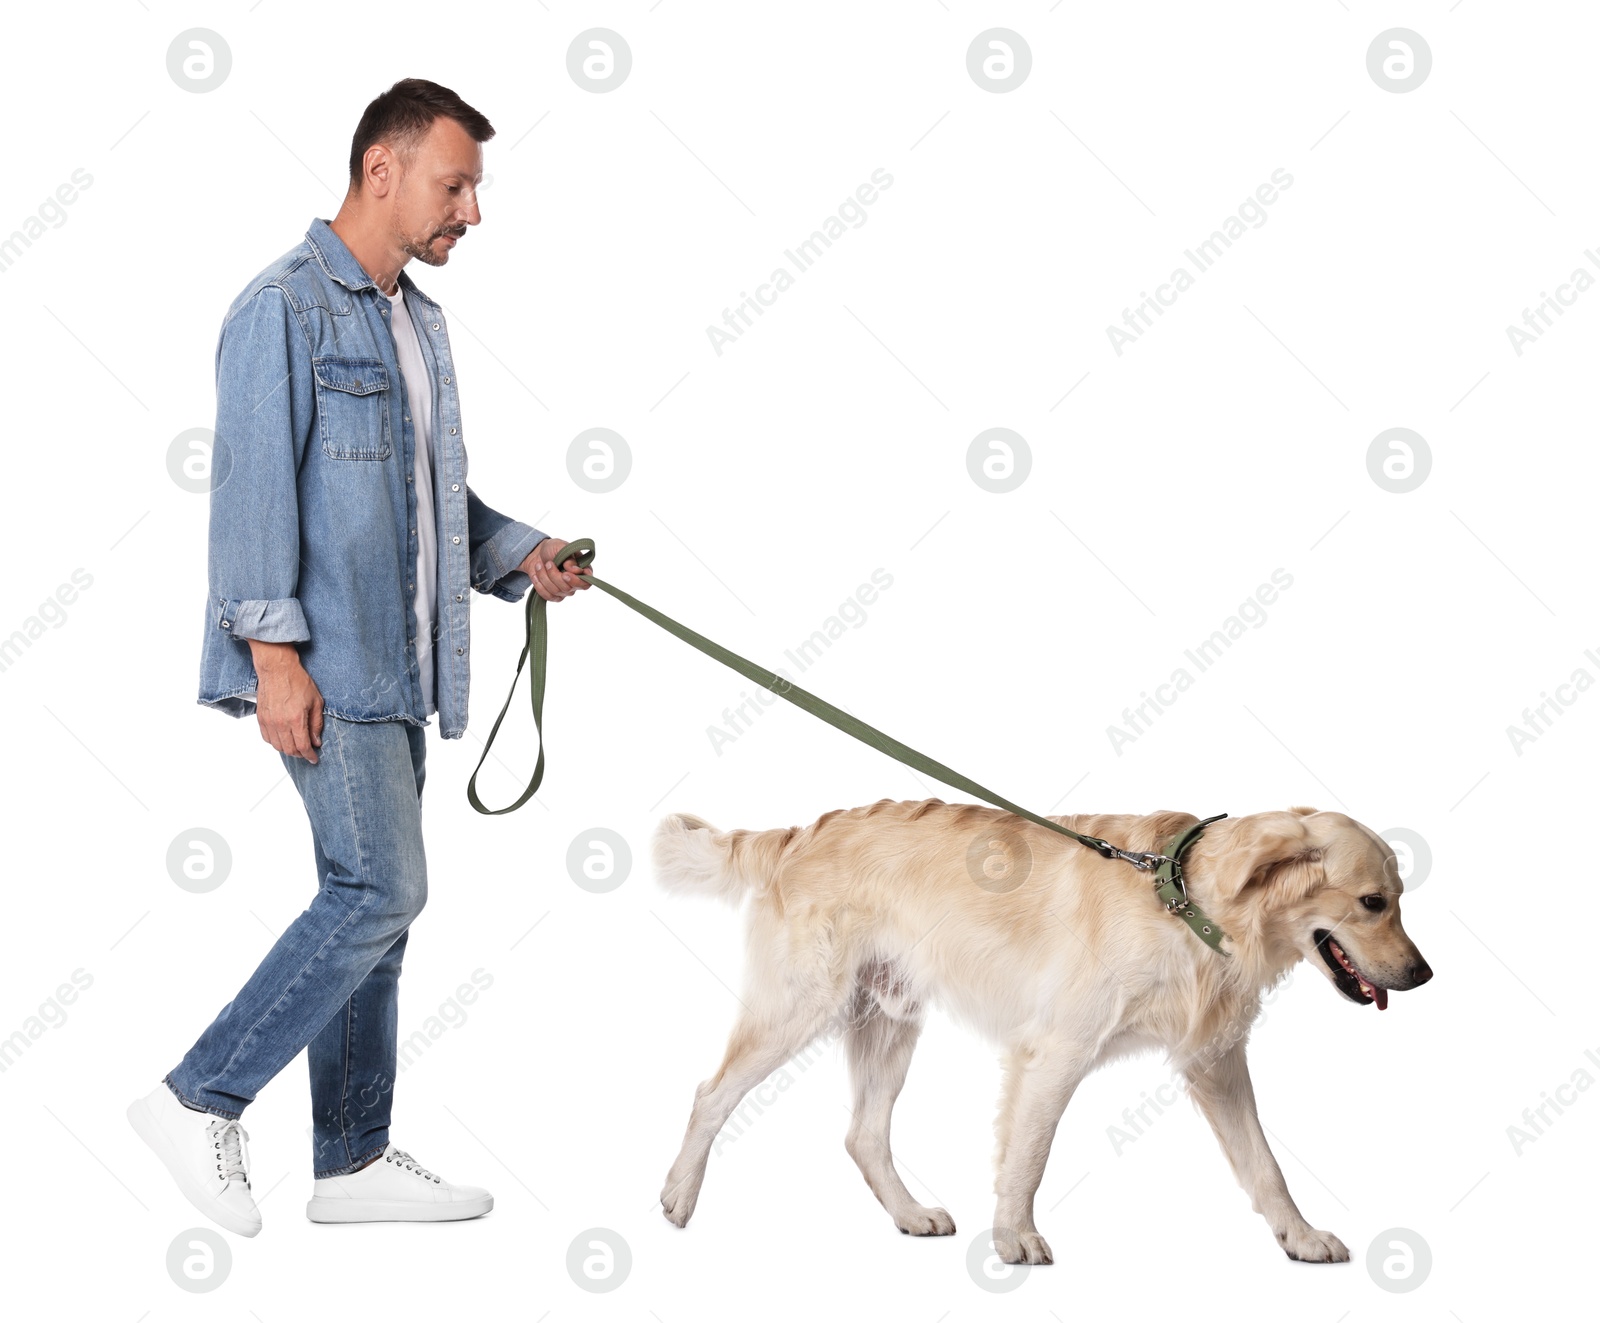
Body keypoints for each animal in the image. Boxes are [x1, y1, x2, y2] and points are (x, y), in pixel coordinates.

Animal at [649, 796, 1440, 1260]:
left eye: (1401, 900)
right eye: (1373, 902)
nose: (1425, 974)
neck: (1186, 897)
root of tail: (801, 831)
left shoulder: (1214, 1061)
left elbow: (1264, 1165)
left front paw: (1298, 1235)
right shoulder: (1055, 1052)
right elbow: (1027, 1158)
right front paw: (1014, 1238)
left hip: (890, 1021)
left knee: (863, 1134)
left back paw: (910, 1214)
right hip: (799, 1006)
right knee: (709, 1093)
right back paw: (678, 1197)